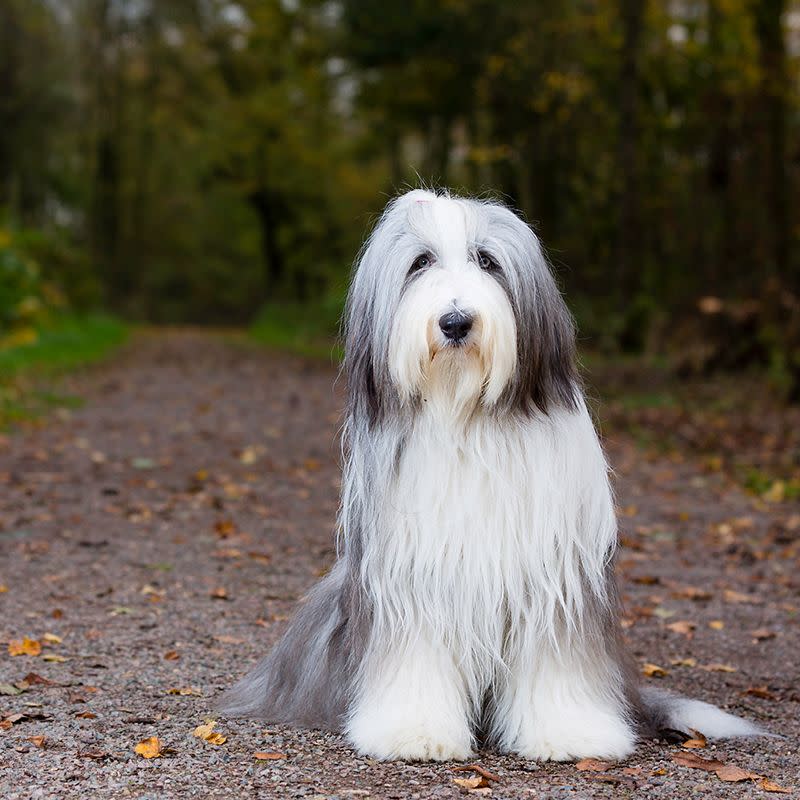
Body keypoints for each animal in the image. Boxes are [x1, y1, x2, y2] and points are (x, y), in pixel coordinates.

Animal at [219, 189, 764, 764]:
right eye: (421, 262)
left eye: (487, 261)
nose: (457, 322)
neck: (467, 418)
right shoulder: (413, 578)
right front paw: (415, 731)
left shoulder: (553, 576)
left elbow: (557, 658)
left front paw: (569, 731)